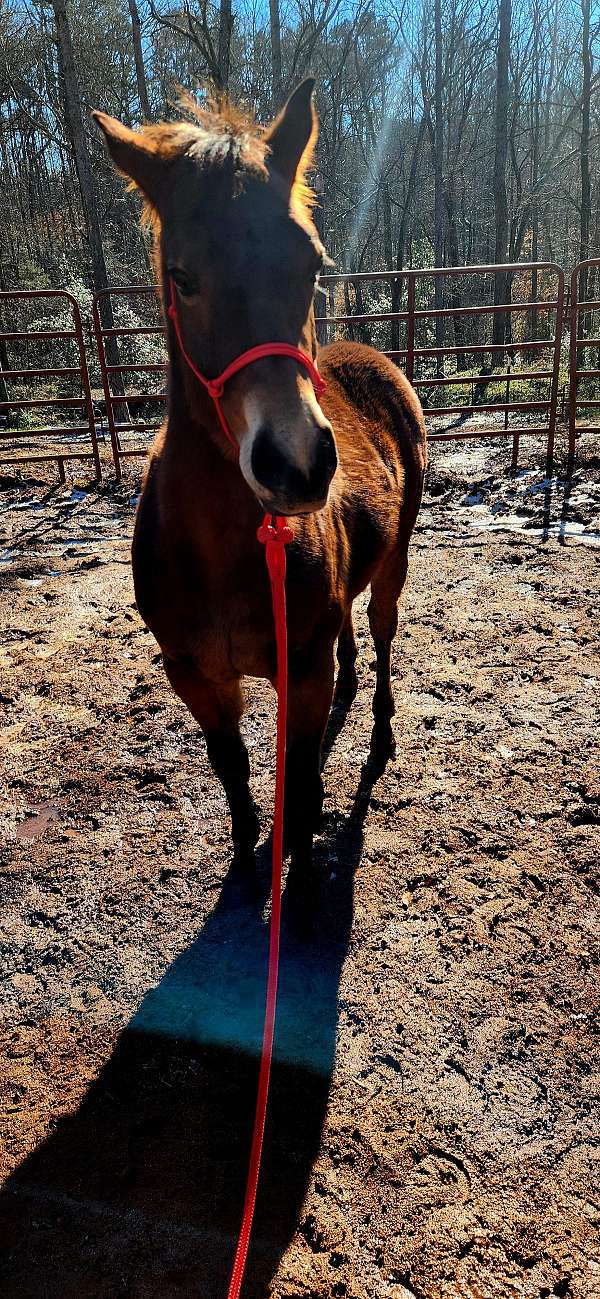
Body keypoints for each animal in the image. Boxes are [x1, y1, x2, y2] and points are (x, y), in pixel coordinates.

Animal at [94, 75, 425, 898]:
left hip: (397, 565)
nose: (296, 464)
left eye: (310, 264)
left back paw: (380, 729)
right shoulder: (194, 673)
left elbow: (299, 779)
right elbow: (234, 766)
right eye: (182, 277)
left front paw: (296, 873)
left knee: (381, 636)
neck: (224, 555)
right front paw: (248, 856)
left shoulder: (296, 671)